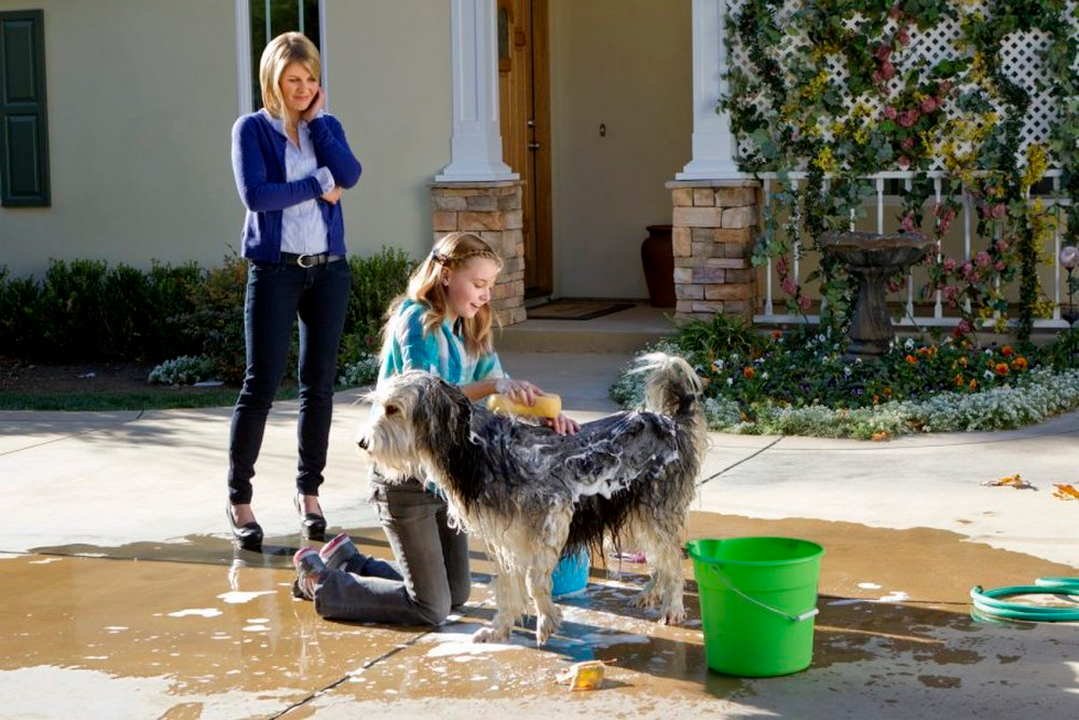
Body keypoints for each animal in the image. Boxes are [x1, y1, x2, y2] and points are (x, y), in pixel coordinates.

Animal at [358, 354, 703, 647]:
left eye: (393, 409)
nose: (362, 443)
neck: (474, 449)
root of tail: (670, 422)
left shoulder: (554, 516)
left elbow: (534, 581)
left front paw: (545, 621)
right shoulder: (503, 537)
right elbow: (507, 586)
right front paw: (500, 629)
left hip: (655, 510)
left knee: (672, 560)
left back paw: (672, 607)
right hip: (638, 513)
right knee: (662, 561)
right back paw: (650, 593)